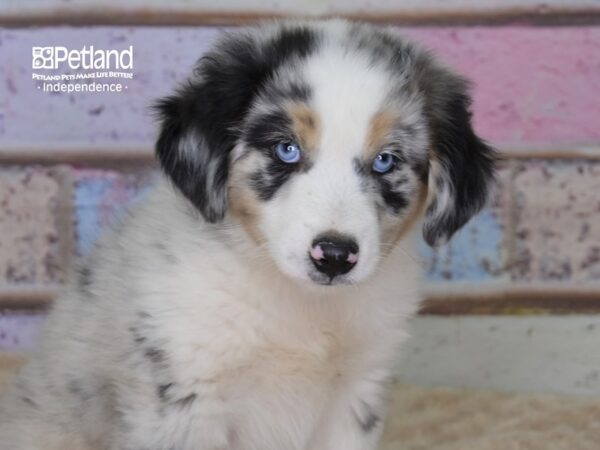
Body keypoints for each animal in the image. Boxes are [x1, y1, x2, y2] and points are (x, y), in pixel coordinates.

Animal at [0, 18, 494, 450]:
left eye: (385, 160)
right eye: (286, 149)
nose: (335, 255)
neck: (299, 308)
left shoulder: (355, 394)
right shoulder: (185, 399)